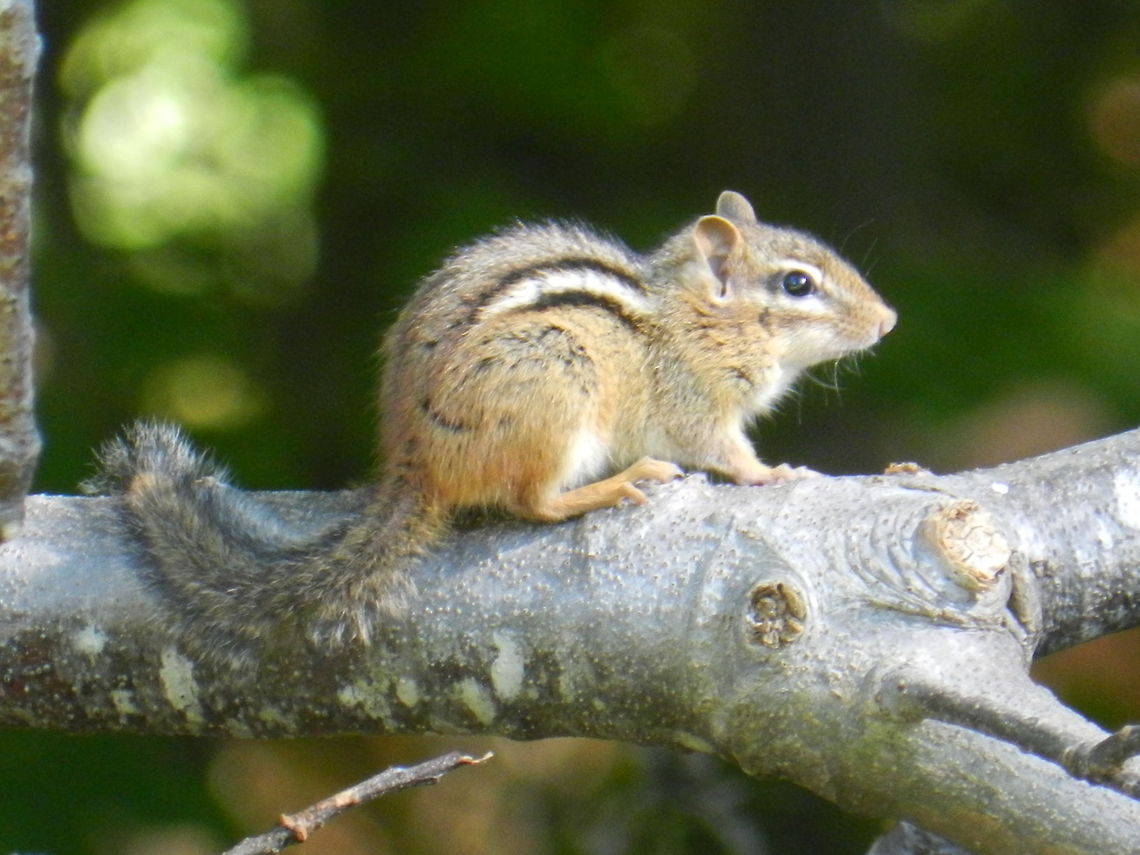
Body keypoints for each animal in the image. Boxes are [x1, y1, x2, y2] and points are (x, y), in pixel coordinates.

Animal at [92, 190, 896, 665]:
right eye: (797, 283)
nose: (888, 320)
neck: (694, 314)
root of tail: (414, 467)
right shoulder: (694, 401)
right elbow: (725, 449)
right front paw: (774, 471)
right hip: (557, 381)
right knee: (530, 502)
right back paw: (616, 483)